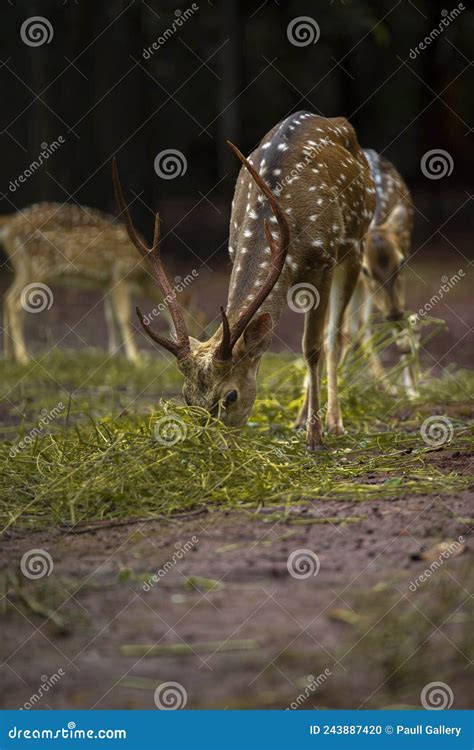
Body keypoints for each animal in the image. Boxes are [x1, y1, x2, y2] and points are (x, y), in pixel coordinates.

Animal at [1, 201, 206, 362]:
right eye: (196, 319)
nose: (201, 340)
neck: (142, 275)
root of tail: (9, 225)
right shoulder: (119, 273)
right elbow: (123, 315)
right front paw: (134, 357)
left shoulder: (106, 282)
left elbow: (110, 316)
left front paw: (113, 354)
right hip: (39, 266)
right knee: (15, 304)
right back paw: (22, 358)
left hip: (23, 267)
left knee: (7, 297)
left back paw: (8, 356)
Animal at [114, 110, 374, 452]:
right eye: (186, 397)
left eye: (231, 396)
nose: (211, 445)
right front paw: (306, 425)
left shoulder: (324, 260)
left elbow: (313, 347)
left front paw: (315, 438)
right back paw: (300, 418)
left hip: (356, 245)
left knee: (336, 336)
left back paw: (334, 422)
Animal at [344, 149, 418, 400]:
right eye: (366, 269)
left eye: (402, 262)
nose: (394, 314)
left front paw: (413, 391)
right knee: (354, 328)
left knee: (362, 327)